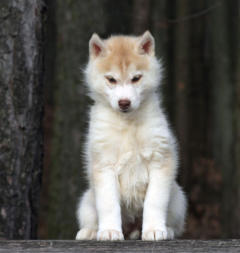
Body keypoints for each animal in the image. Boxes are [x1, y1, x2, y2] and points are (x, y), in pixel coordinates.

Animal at [76, 30, 187, 240]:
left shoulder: (160, 159)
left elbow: (154, 201)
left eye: (136, 78)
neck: (127, 123)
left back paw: (162, 230)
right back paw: (90, 232)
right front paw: (110, 231)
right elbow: (109, 204)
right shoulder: (104, 164)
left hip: (178, 199)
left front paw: (154, 230)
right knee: (92, 218)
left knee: (174, 225)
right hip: (86, 202)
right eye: (111, 79)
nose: (124, 102)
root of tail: (131, 228)